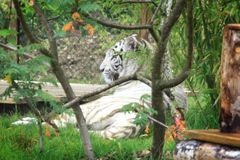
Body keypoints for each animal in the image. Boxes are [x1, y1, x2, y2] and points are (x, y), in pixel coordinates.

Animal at [13, 34, 188, 139]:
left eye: (113, 55)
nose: (100, 69)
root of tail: (140, 119)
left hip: (87, 108)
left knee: (54, 120)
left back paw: (18, 123)